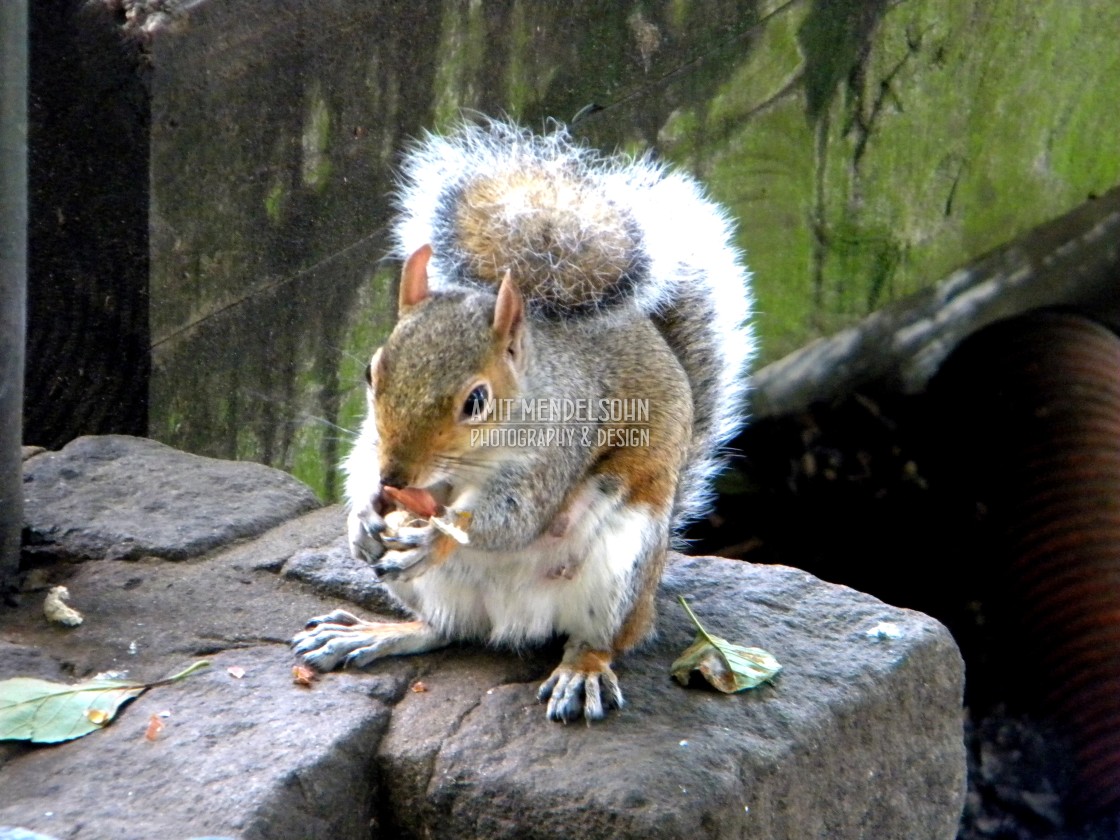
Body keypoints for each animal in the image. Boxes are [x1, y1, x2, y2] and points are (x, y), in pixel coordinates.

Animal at [293, 118, 757, 725]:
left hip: (621, 567)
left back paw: (582, 670)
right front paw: (363, 515)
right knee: (443, 628)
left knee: (603, 638)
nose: (396, 478)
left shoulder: (558, 445)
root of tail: (510, 622)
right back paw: (374, 633)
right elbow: (363, 469)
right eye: (371, 372)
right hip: (429, 592)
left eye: (476, 401)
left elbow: (513, 518)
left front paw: (436, 536)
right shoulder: (373, 444)